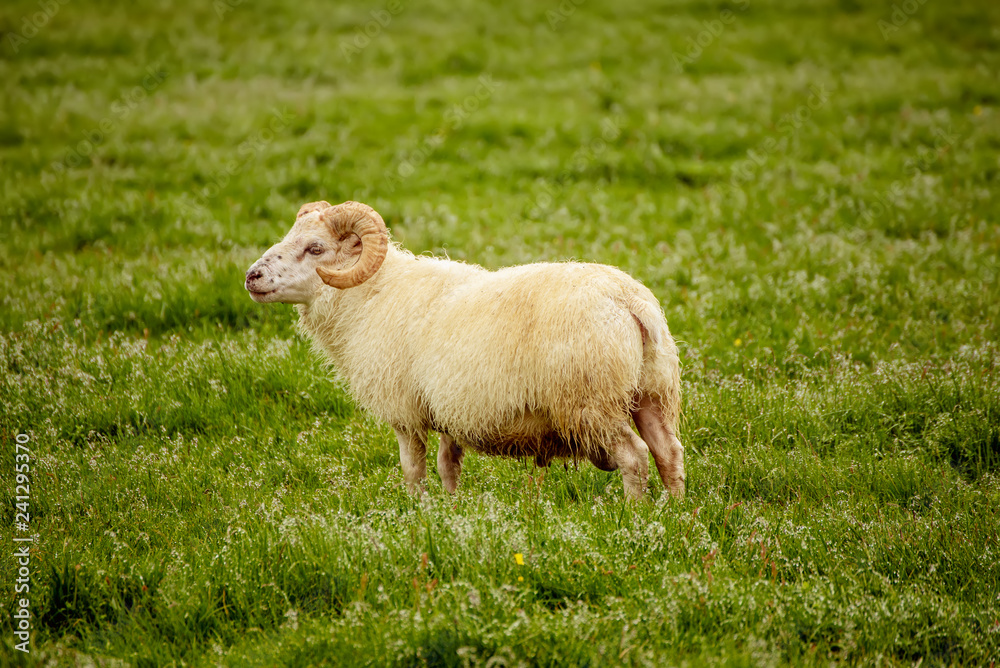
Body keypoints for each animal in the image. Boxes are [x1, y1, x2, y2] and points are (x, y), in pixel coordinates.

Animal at [246, 201, 684, 498]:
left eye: (316, 248)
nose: (252, 276)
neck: (370, 296)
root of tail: (629, 300)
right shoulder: (446, 410)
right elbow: (447, 466)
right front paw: (451, 509)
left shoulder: (404, 411)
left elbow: (413, 469)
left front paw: (417, 510)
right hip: (651, 392)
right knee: (668, 452)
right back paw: (673, 512)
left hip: (591, 401)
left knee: (634, 456)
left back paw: (633, 514)